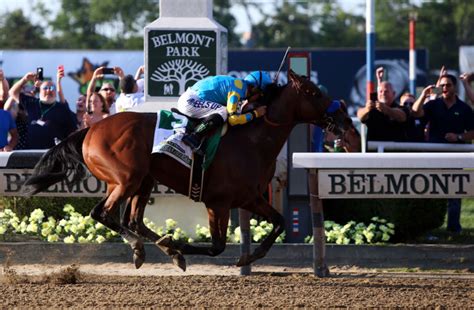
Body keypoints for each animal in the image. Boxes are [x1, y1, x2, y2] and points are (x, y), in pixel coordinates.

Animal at [25, 70, 352, 272]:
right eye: (312, 92)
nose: (345, 118)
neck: (252, 140)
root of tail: (90, 129)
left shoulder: (249, 198)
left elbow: (280, 221)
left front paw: (250, 256)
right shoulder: (218, 202)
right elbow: (217, 246)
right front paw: (179, 243)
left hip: (143, 180)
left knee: (133, 220)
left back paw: (159, 249)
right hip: (126, 178)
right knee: (102, 213)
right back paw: (148, 248)